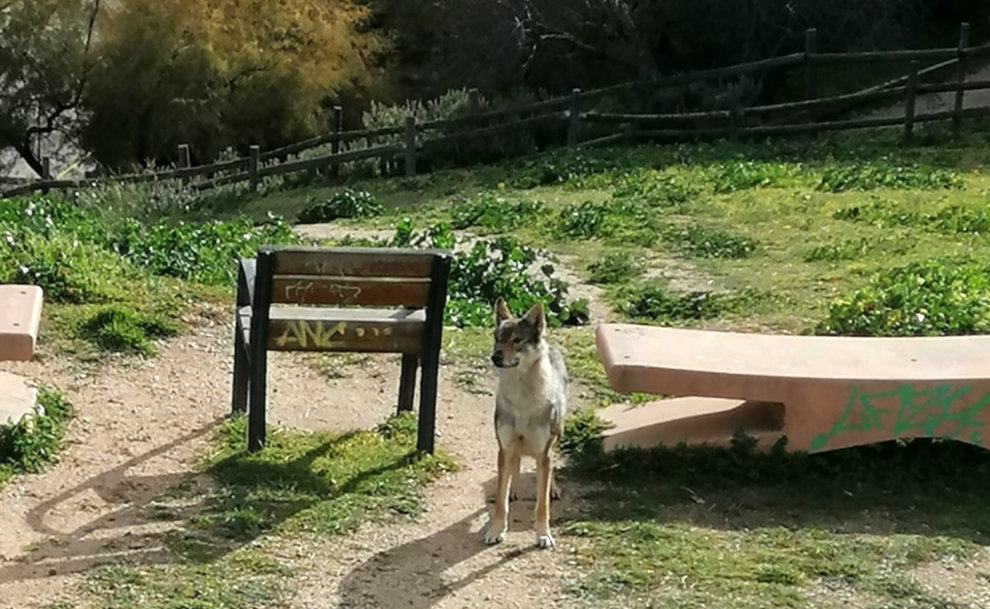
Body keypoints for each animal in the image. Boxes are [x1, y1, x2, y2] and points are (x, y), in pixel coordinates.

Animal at [484, 297, 567, 549]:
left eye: (517, 340)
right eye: (497, 337)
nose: (495, 356)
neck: (521, 400)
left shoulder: (544, 452)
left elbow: (542, 505)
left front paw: (543, 535)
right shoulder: (504, 448)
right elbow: (501, 503)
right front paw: (496, 531)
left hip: (556, 436)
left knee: (549, 469)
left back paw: (553, 488)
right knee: (516, 464)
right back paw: (514, 488)